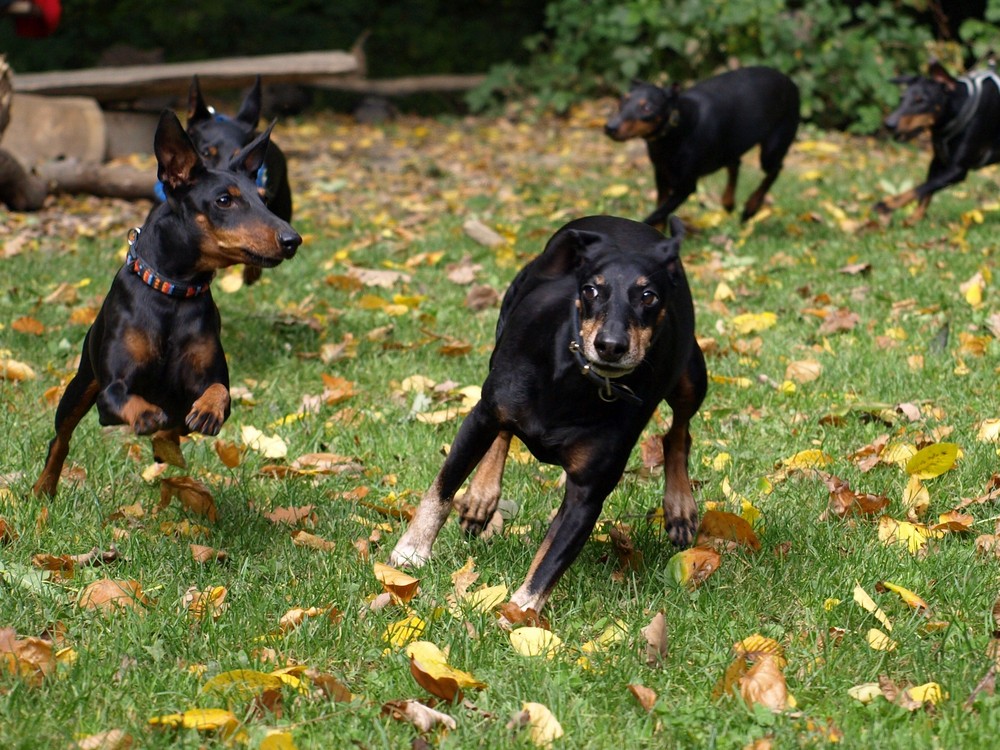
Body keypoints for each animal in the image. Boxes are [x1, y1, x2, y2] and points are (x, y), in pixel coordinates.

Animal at [35, 110, 300, 500]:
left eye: (265, 199)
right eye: (224, 200)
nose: (293, 239)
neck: (174, 294)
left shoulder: (208, 381)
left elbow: (219, 391)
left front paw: (205, 411)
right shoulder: (110, 394)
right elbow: (123, 397)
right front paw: (147, 415)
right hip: (80, 386)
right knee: (61, 438)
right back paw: (44, 487)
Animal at [386, 214, 708, 620]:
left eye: (648, 295)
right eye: (591, 290)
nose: (611, 346)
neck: (575, 379)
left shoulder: (588, 491)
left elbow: (550, 561)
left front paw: (519, 615)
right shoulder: (481, 417)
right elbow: (442, 489)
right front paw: (412, 551)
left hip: (691, 374)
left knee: (678, 432)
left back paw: (680, 507)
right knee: (503, 431)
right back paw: (481, 496)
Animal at [604, 67, 800, 226]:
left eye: (648, 108)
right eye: (622, 100)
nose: (610, 127)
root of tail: (789, 81)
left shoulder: (686, 186)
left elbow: (656, 215)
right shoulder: (661, 174)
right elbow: (660, 214)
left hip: (772, 149)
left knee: (775, 169)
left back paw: (751, 207)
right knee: (735, 163)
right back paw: (728, 201)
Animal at [876, 60, 1000, 223]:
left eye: (921, 101)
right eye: (902, 99)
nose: (888, 124)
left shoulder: (957, 170)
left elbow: (920, 188)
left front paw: (888, 203)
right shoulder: (937, 161)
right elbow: (926, 191)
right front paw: (914, 219)